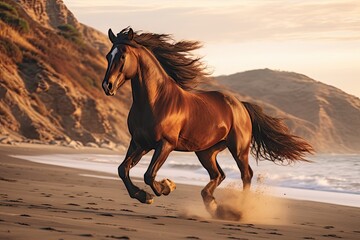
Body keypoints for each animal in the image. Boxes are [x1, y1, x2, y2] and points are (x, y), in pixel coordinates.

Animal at [102, 27, 316, 219]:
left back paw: (239, 210)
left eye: (122, 56)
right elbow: (123, 169)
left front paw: (166, 187)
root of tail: (241, 105)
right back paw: (212, 204)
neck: (156, 100)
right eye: (107, 56)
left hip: (238, 149)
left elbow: (149, 174)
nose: (107, 86)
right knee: (219, 175)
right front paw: (144, 195)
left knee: (246, 175)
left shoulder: (165, 144)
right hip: (206, 152)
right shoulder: (140, 143)